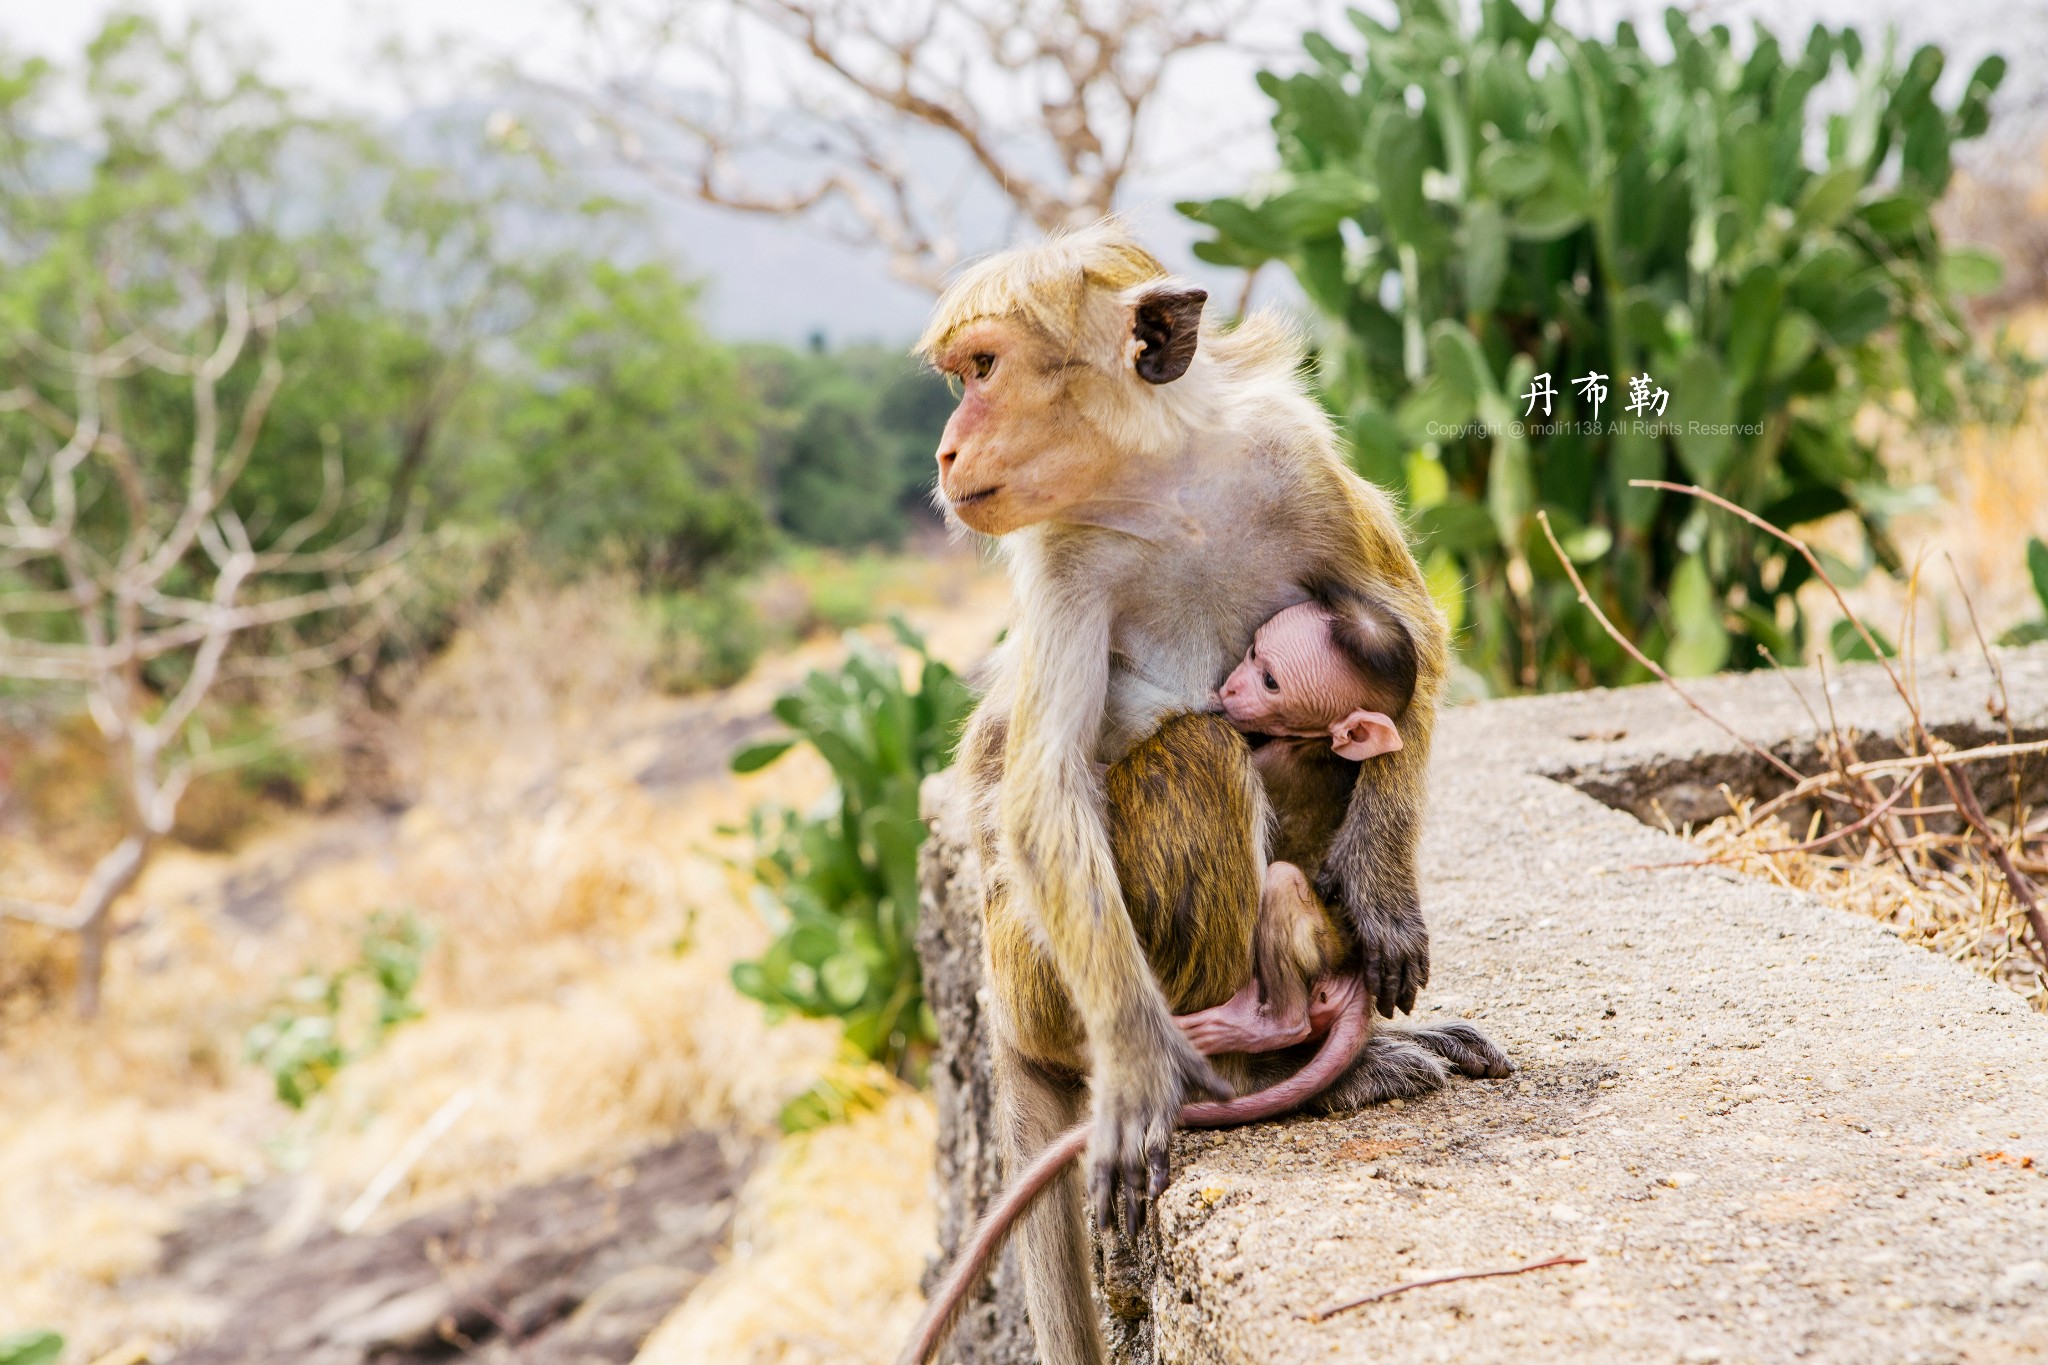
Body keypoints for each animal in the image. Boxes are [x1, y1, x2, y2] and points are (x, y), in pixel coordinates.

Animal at [1179, 597, 1417, 1055]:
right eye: (1253, 651)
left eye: (1271, 682)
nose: (1230, 688)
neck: (1311, 741)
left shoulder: (1278, 761)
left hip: (1328, 943)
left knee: (1281, 882)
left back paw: (1269, 1026)